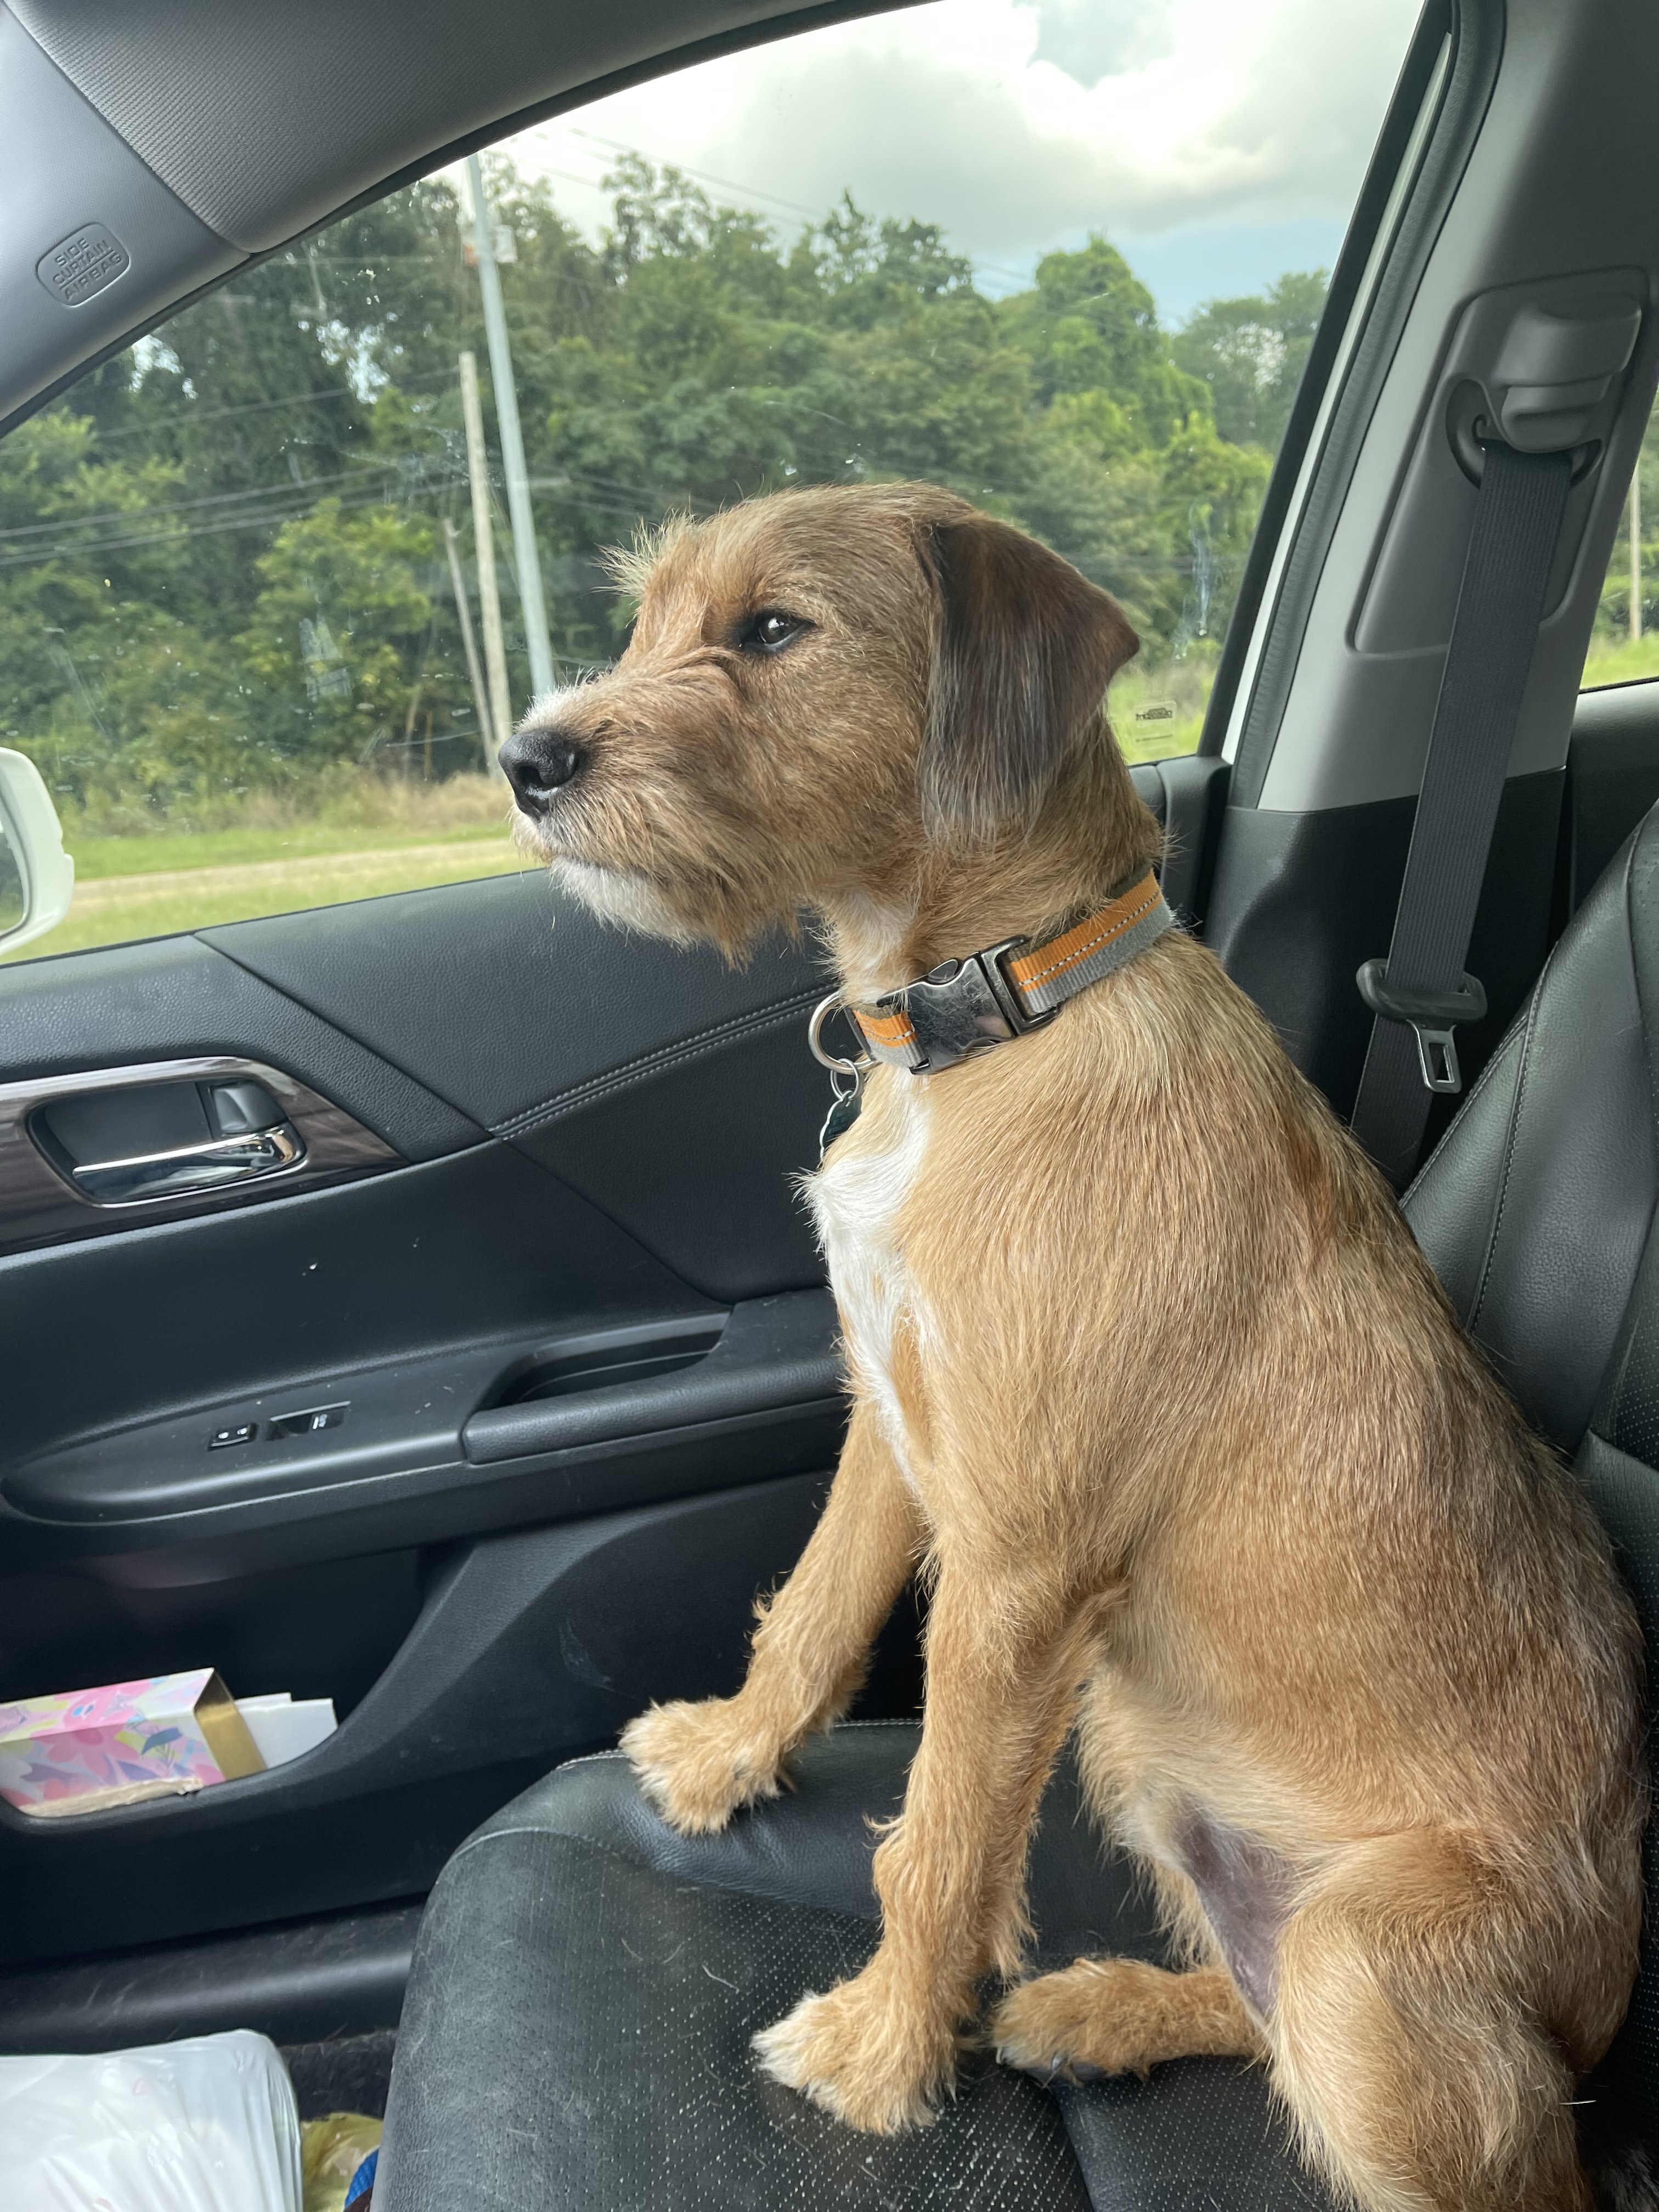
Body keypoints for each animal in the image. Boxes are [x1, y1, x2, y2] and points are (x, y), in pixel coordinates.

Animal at [500, 489, 1645, 2212]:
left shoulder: (1020, 1570)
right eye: (651, 620)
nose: (528, 760)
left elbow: (940, 1837)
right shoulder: (892, 1421)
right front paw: (725, 1756)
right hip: (1145, 1753)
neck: (999, 1019)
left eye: (772, 630)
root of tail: (1602, 2033)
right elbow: (814, 1615)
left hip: (1360, 1954)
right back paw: (1104, 2008)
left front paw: (881, 2056)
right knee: (1258, 2001)